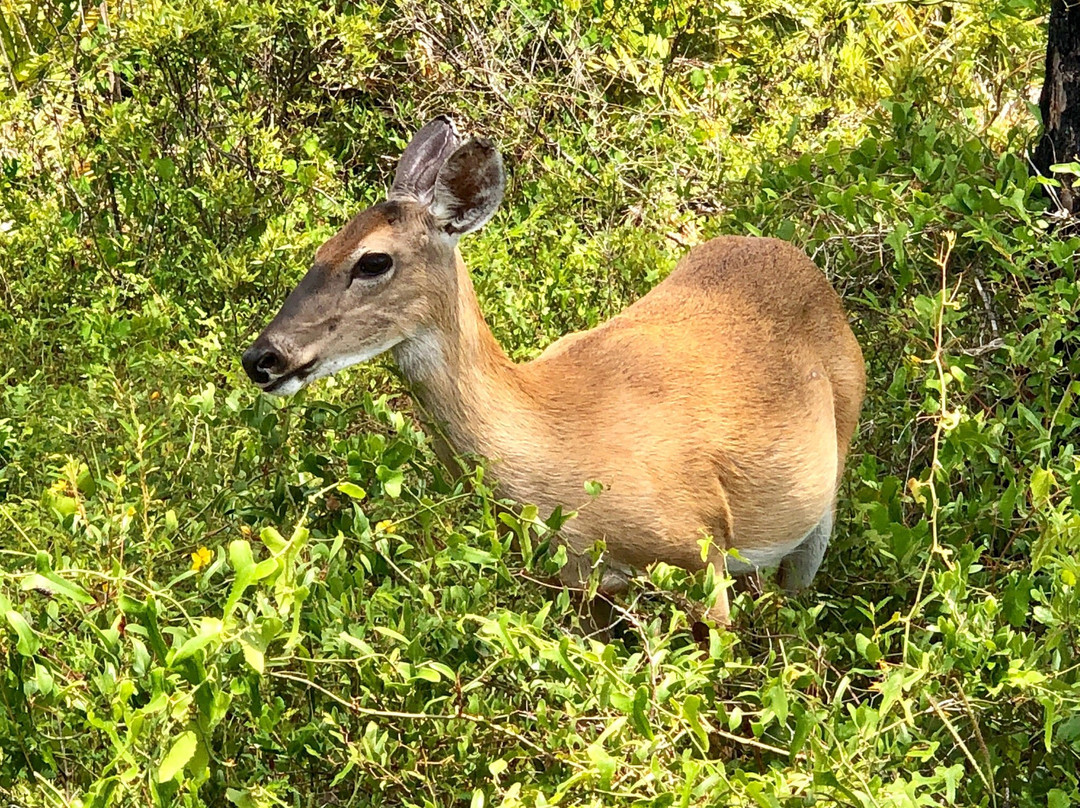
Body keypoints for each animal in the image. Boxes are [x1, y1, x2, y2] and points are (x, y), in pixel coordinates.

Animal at [240, 116, 864, 626]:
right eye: (320, 247)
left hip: (822, 503)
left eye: (373, 260)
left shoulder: (701, 552)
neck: (554, 439)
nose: (262, 358)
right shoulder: (579, 584)